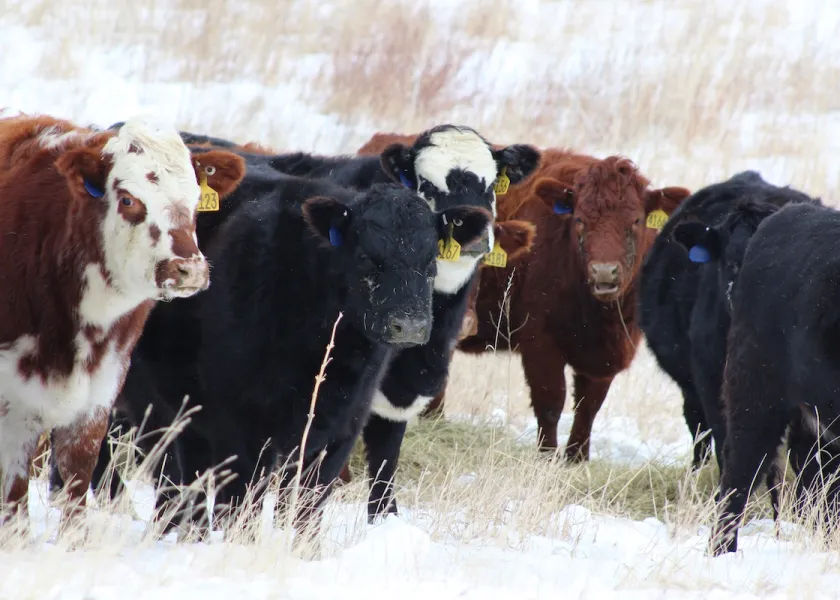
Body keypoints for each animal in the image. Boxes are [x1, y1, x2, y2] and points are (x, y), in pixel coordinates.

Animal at [0, 113, 240, 529]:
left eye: (196, 200)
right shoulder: (12, 397)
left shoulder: (101, 386)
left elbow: (77, 473)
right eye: (128, 199)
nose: (189, 269)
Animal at [83, 166, 493, 544]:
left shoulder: (339, 430)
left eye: (432, 260)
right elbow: (242, 503)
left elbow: (307, 507)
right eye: (366, 256)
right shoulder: (240, 425)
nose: (409, 325)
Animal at [435, 149, 690, 461]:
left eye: (636, 221)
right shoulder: (540, 346)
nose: (604, 273)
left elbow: (588, 407)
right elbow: (550, 403)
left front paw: (576, 458)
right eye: (579, 219)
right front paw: (547, 456)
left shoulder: (606, 358)